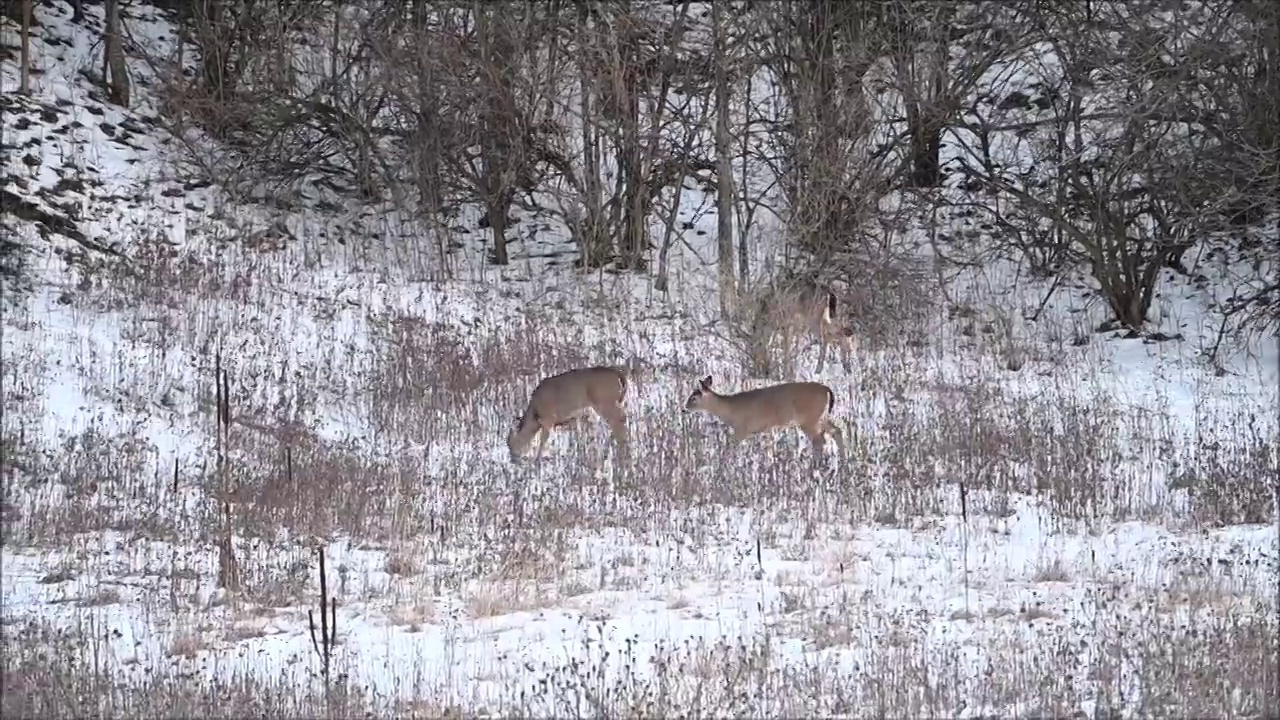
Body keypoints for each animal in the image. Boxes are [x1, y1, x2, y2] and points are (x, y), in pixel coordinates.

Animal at [686, 371, 844, 456]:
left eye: (693, 398)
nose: (684, 408)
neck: (730, 410)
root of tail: (827, 390)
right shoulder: (766, 430)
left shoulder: (742, 429)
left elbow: (730, 445)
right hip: (822, 416)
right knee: (837, 431)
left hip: (809, 418)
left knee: (820, 441)